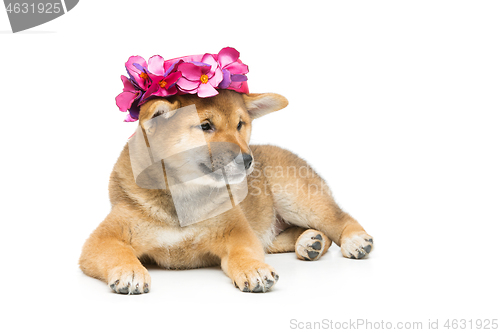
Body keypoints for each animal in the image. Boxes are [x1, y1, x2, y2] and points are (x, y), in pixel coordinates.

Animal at [78, 89, 374, 294]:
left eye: (240, 124)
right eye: (205, 126)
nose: (247, 160)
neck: (183, 197)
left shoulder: (237, 233)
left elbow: (244, 253)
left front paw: (253, 269)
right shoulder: (104, 239)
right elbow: (119, 253)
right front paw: (130, 271)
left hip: (297, 199)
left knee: (338, 219)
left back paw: (354, 240)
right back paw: (311, 242)